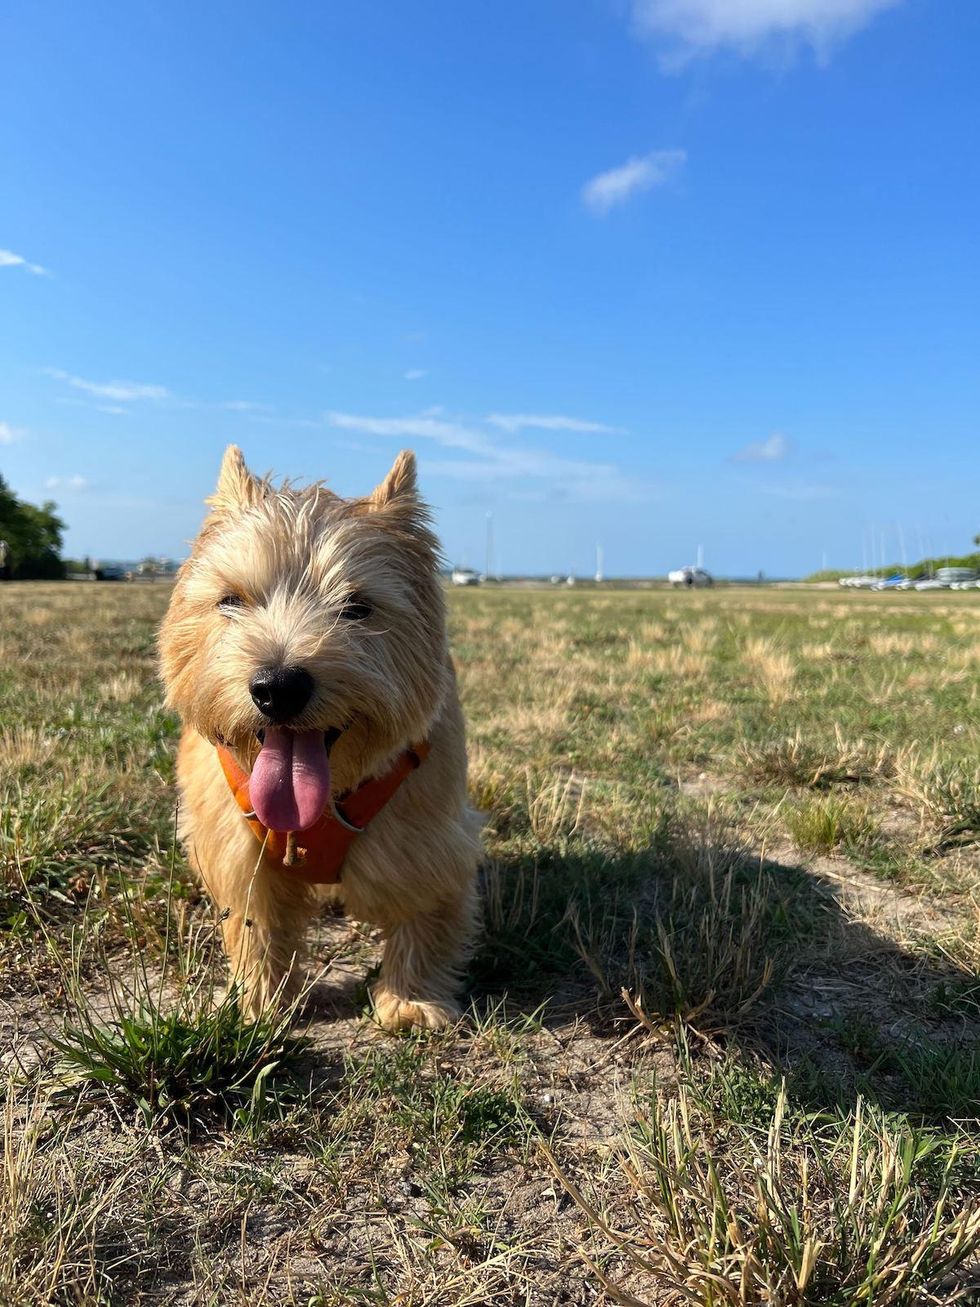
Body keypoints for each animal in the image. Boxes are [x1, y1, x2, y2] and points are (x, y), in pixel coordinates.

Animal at [157, 446, 483, 1029]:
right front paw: (257, 1003)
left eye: (357, 606)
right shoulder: (238, 850)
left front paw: (411, 999)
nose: (278, 687)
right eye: (231, 600)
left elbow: (422, 913)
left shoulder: (426, 840)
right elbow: (255, 926)